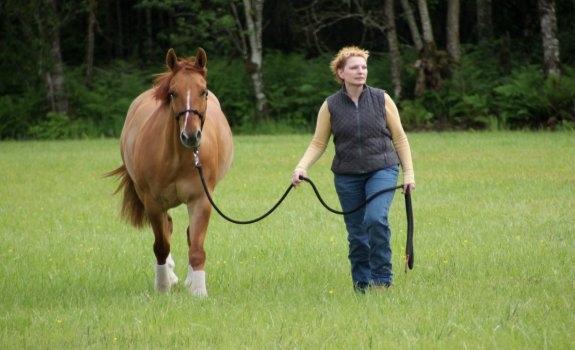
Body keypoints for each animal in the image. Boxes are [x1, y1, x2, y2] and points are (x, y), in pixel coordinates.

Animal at [107, 47, 233, 296]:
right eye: (173, 93)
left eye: (203, 91)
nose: (190, 136)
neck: (179, 158)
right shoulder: (153, 202)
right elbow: (161, 245)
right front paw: (163, 285)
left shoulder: (202, 200)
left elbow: (196, 247)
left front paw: (198, 291)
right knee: (167, 228)